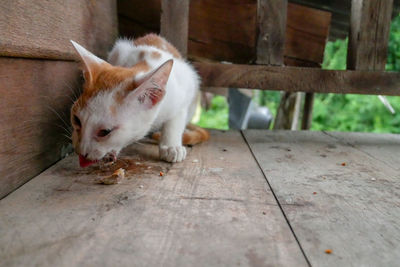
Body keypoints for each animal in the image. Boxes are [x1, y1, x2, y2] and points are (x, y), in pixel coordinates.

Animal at [69, 33, 209, 168]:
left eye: (105, 132)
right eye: (76, 120)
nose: (80, 151)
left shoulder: (184, 89)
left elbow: (175, 120)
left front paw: (171, 146)